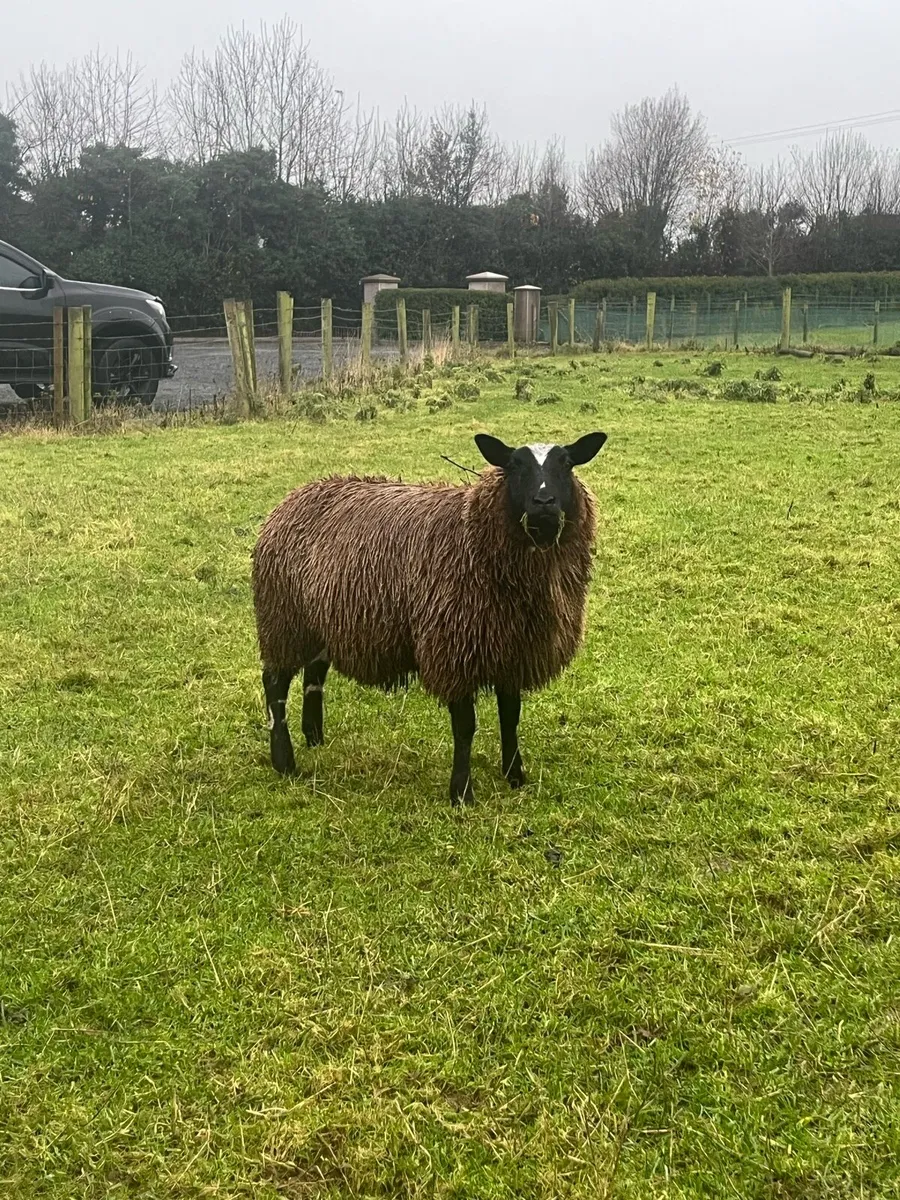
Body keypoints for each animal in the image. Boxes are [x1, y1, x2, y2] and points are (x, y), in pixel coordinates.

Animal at [251, 430, 607, 804]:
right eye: (514, 465)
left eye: (566, 464)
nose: (544, 502)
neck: (474, 537)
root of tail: (292, 498)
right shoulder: (452, 650)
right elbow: (465, 727)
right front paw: (461, 793)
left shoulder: (511, 651)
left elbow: (511, 717)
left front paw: (515, 775)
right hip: (283, 619)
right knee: (274, 683)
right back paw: (284, 761)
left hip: (320, 622)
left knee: (314, 673)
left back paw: (315, 737)